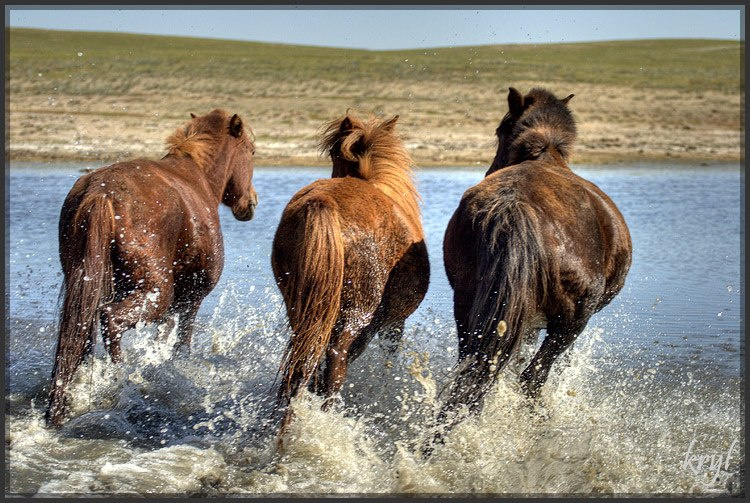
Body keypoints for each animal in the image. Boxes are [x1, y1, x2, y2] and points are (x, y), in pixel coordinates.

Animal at [45, 109, 258, 427]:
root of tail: (101, 194)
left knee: (82, 336)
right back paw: (120, 380)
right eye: (252, 151)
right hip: (156, 293)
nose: (251, 201)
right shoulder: (190, 299)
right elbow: (180, 344)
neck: (199, 179)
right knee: (111, 320)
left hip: (87, 287)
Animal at [271, 112, 429, 434]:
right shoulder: (392, 323)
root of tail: (323, 204)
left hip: (303, 310)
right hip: (353, 316)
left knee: (301, 364)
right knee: (334, 366)